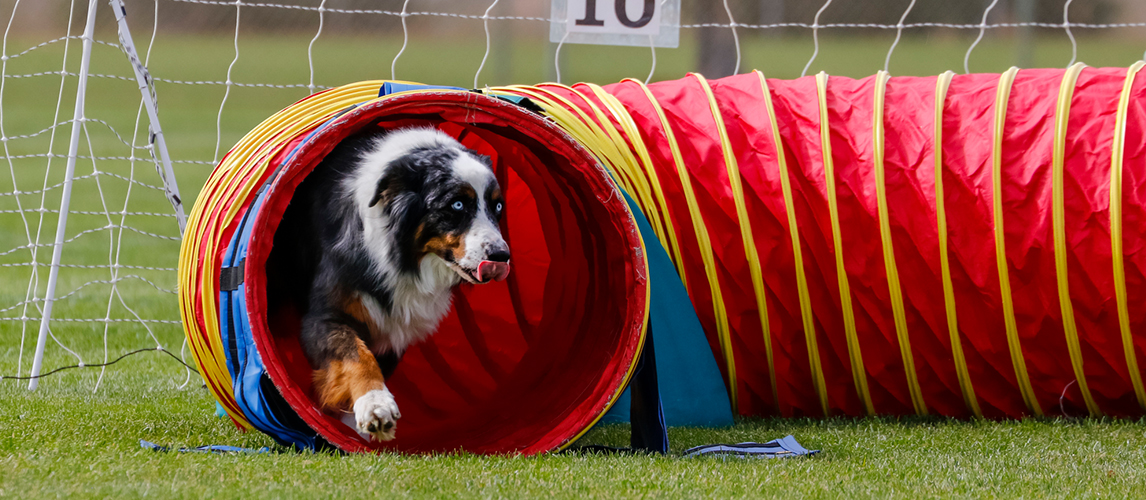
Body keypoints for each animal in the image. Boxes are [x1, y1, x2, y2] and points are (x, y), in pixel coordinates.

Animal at [269, 127, 511, 440]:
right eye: (457, 204)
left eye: (498, 206)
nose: (501, 256)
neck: (406, 258)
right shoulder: (324, 317)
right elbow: (357, 355)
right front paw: (375, 404)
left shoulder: (394, 330)